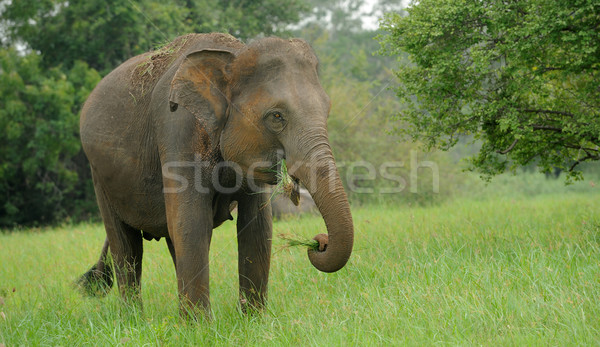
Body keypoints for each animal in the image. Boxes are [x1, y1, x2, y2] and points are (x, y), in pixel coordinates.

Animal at [77, 33, 354, 318]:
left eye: (328, 110)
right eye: (276, 116)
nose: (318, 242)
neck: (233, 55)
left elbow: (257, 225)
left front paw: (253, 319)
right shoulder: (177, 127)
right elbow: (192, 222)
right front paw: (199, 325)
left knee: (170, 239)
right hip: (99, 175)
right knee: (126, 245)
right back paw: (135, 318)